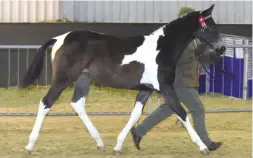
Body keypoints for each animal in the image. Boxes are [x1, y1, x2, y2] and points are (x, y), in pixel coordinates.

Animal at [19, 4, 225, 154]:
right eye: (211, 26)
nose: (222, 48)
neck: (162, 47)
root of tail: (59, 38)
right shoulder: (164, 87)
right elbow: (181, 112)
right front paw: (203, 147)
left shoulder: (146, 89)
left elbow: (135, 114)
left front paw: (118, 145)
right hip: (63, 79)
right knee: (46, 103)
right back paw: (29, 145)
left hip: (84, 79)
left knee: (77, 104)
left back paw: (100, 142)